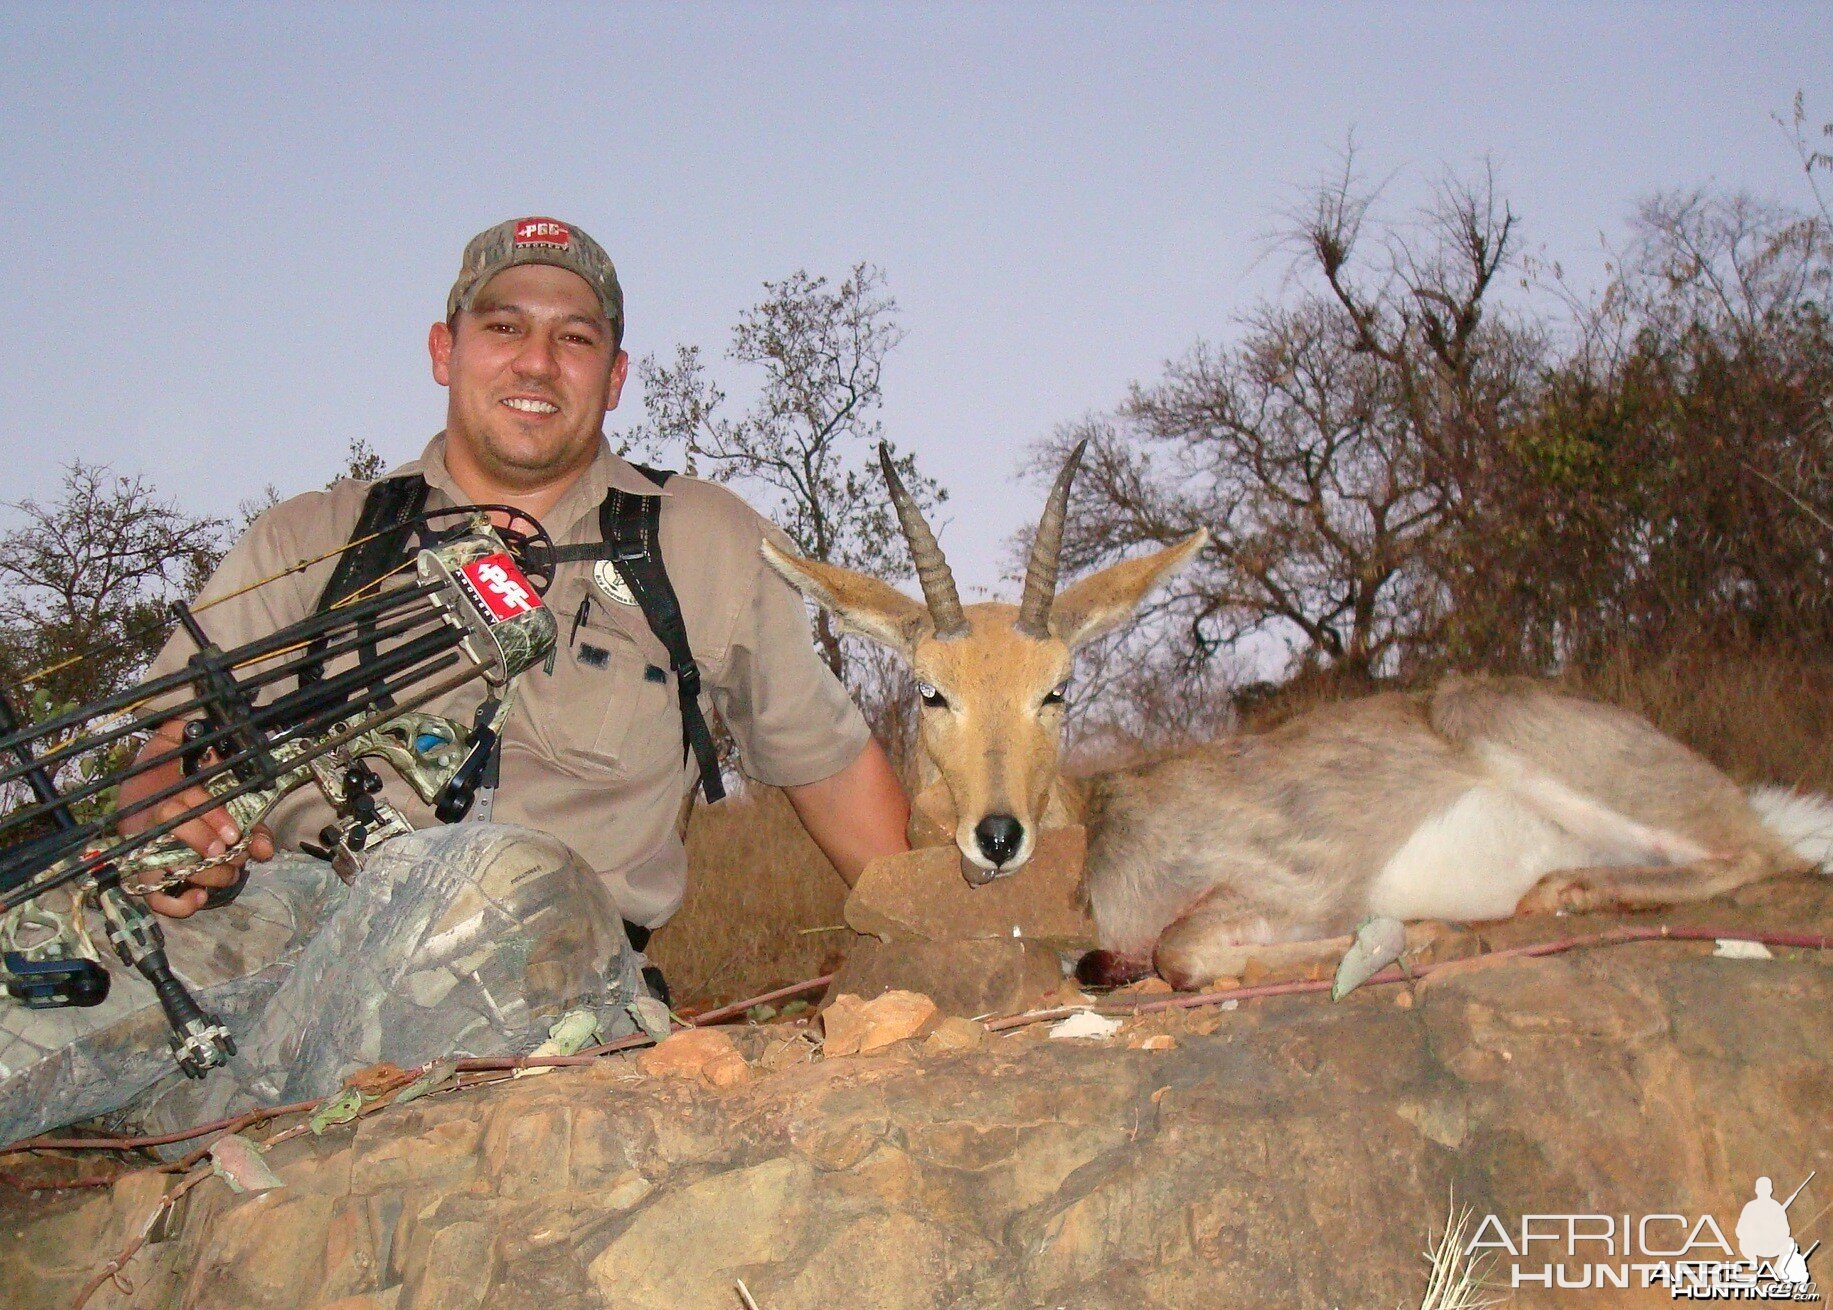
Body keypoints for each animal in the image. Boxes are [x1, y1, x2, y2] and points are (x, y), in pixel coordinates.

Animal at [758, 445, 1833, 989]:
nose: (995, 835)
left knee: (1762, 855)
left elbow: (1185, 954)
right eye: (930, 690)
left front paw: (1421, 938)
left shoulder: (1295, 881)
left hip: (1512, 732)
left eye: (1057, 686)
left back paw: (1555, 893)